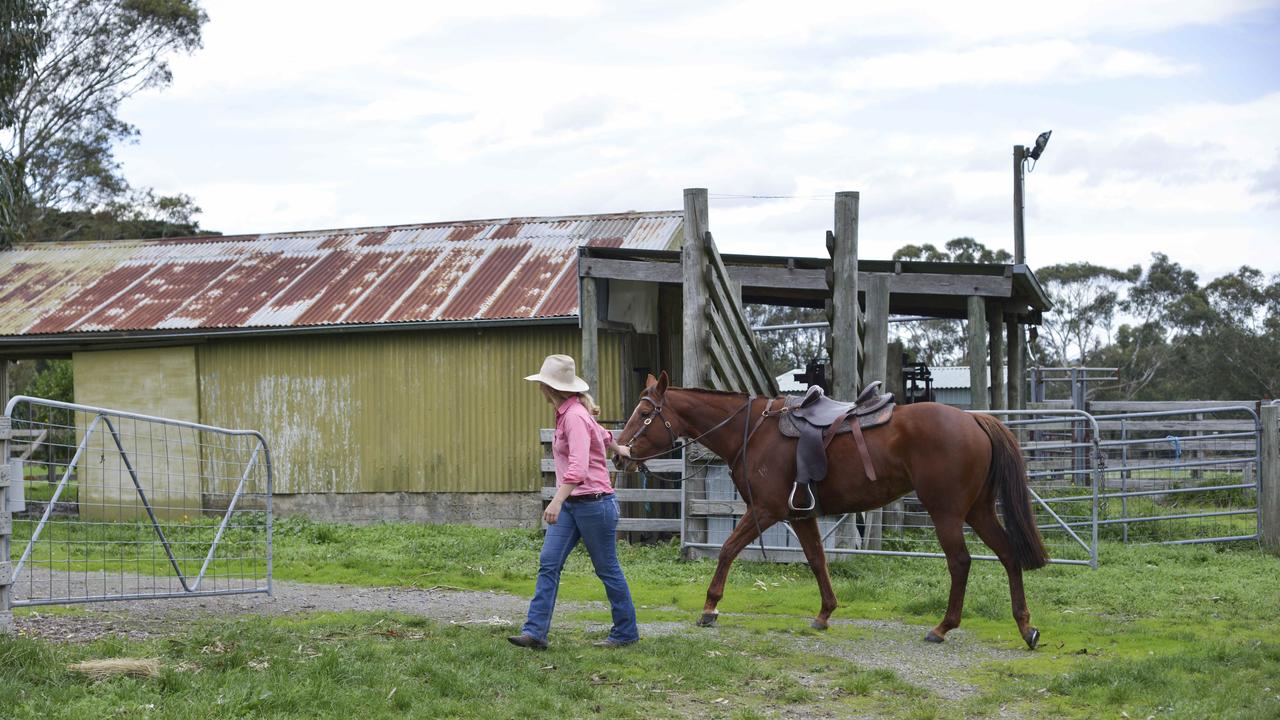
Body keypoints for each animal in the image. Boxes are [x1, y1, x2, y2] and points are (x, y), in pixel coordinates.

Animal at [619, 371, 1049, 648]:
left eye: (645, 415)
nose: (620, 452)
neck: (753, 432)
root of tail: (975, 419)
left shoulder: (766, 510)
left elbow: (726, 550)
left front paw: (710, 607)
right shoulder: (800, 514)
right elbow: (817, 560)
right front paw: (825, 613)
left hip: (946, 513)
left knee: (960, 563)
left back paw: (943, 627)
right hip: (978, 510)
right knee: (1008, 554)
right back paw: (1025, 626)